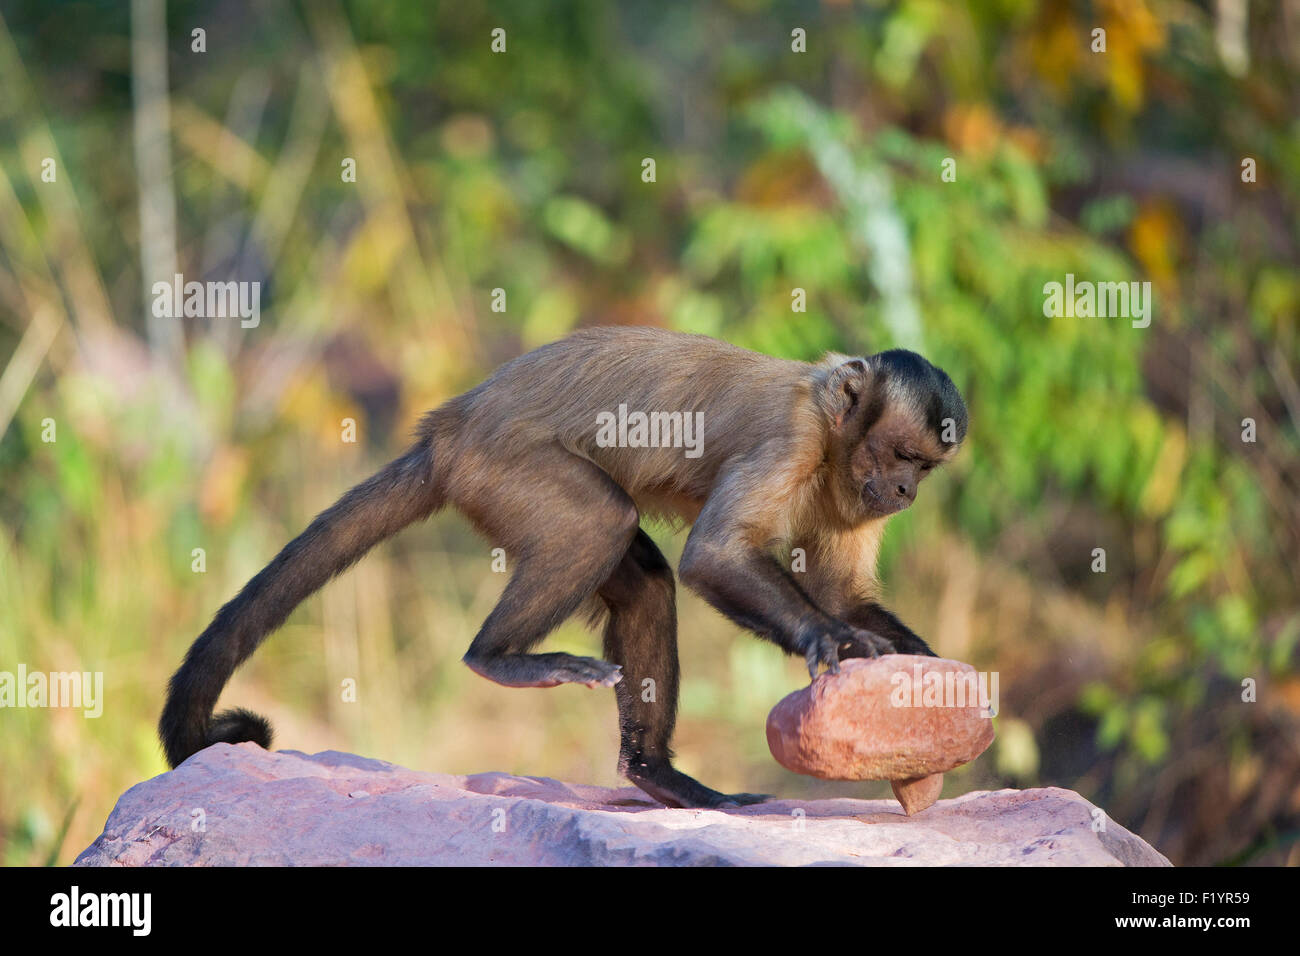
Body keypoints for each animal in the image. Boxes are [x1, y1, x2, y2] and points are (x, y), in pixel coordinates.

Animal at [159, 327, 967, 806]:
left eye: (925, 468)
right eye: (903, 455)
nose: (905, 493)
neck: (833, 434)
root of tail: (448, 427)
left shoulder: (852, 495)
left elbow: (841, 591)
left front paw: (921, 665)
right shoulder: (793, 436)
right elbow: (715, 556)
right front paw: (829, 639)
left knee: (642, 579)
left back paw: (654, 774)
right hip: (502, 467)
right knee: (600, 520)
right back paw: (496, 656)